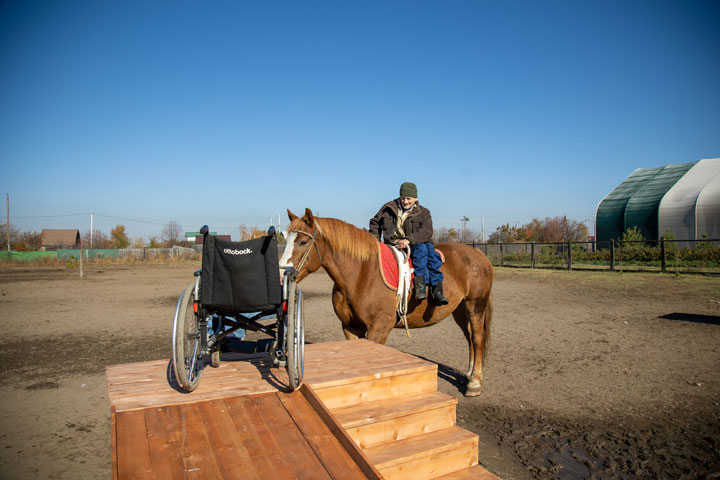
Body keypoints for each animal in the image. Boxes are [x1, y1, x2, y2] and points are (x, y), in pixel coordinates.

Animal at [278, 208, 492, 396]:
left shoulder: (378, 329)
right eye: (286, 240)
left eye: (303, 241)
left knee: (477, 338)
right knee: (469, 337)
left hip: (475, 304)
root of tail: (480, 255)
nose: (282, 274)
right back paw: (467, 374)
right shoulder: (350, 327)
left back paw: (474, 383)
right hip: (460, 309)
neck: (362, 272)